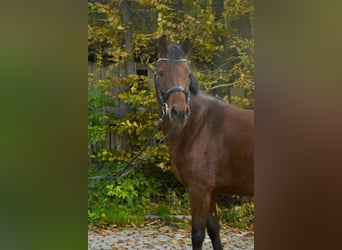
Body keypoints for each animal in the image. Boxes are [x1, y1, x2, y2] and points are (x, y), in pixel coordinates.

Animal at [155, 35, 254, 250]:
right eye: (161, 72)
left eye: (188, 74)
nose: (179, 112)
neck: (198, 126)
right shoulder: (211, 191)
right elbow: (214, 230)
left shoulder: (199, 190)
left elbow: (198, 234)